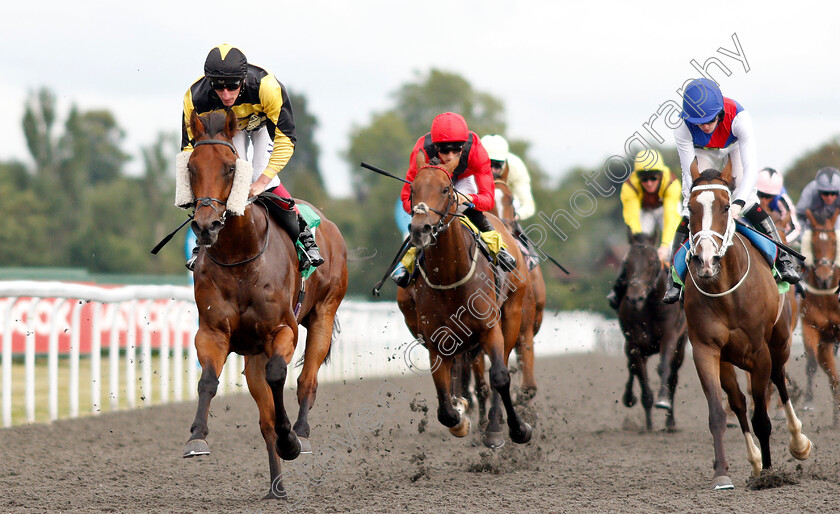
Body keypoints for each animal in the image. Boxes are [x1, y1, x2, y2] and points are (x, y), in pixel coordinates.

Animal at [180, 108, 348, 496]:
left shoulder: (283, 330)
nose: (206, 226)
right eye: (191, 167)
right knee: (265, 419)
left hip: (324, 313)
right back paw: (277, 487)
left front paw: (291, 440)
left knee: (307, 380)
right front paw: (197, 438)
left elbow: (279, 374)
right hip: (252, 353)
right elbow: (208, 381)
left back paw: (300, 433)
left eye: (230, 168)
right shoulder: (212, 331)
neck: (240, 255)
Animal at [398, 154, 536, 446]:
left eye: (445, 190)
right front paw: (460, 418)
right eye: (412, 190)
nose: (420, 229)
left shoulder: (489, 328)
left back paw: (495, 424)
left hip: (512, 315)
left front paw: (516, 429)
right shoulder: (436, 340)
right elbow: (444, 406)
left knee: (499, 370)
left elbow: (500, 377)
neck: (450, 274)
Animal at [616, 230, 688, 430]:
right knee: (632, 367)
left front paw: (663, 402)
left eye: (652, 262)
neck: (649, 307)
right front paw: (648, 424)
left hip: (681, 345)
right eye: (627, 263)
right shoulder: (635, 344)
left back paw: (670, 422)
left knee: (673, 377)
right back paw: (629, 397)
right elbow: (641, 377)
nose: (634, 298)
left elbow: (664, 368)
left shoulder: (670, 337)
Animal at [684, 160, 812, 488]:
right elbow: (719, 412)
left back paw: (798, 442)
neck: (725, 293)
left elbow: (762, 418)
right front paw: (722, 473)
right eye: (690, 208)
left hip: (779, 343)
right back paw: (754, 460)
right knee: (739, 402)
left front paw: (769, 473)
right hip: (728, 360)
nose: (705, 261)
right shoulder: (706, 350)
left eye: (727, 206)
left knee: (779, 380)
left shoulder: (759, 353)